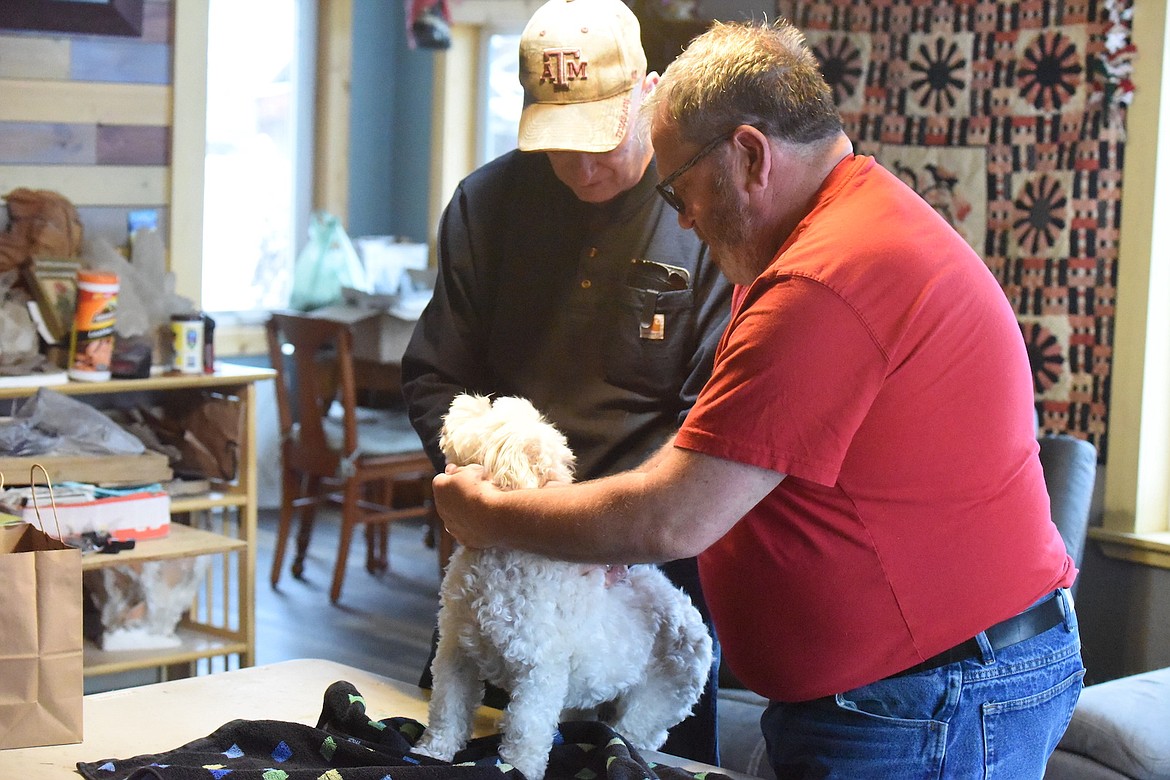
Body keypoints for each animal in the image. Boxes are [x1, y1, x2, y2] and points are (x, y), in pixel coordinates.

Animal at [416, 397, 716, 780]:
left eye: (491, 414)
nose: (464, 400)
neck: (499, 562)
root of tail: (690, 613)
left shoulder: (539, 673)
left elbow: (526, 730)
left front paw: (516, 769)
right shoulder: (457, 652)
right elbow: (447, 710)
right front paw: (432, 752)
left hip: (656, 701)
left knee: (635, 732)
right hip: (589, 688)